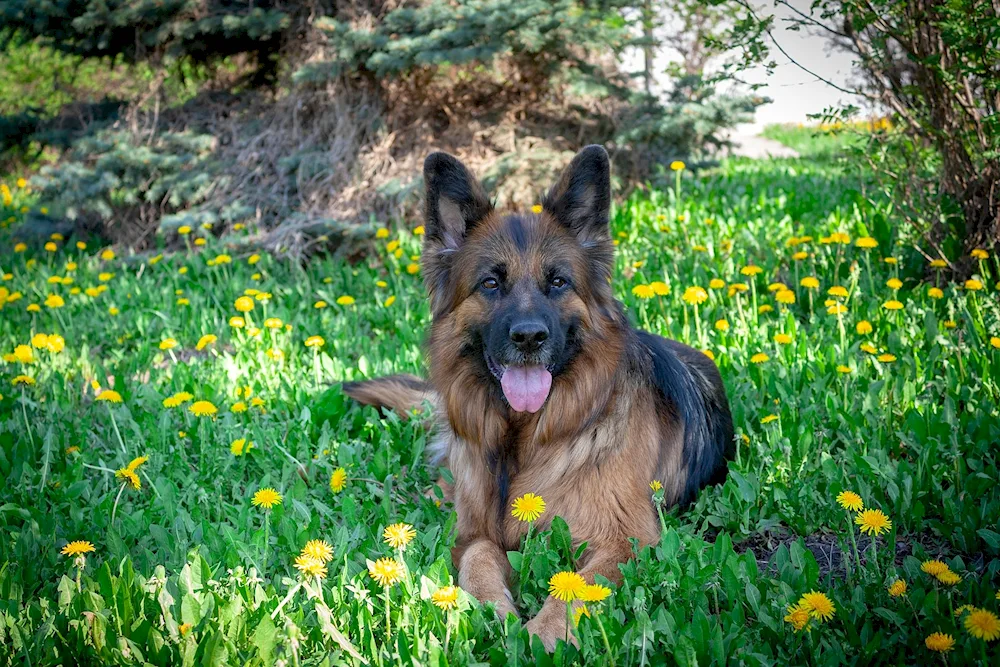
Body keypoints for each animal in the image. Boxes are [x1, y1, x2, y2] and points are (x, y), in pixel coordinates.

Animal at [344, 146, 736, 652]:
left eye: (558, 282)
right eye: (491, 283)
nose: (529, 337)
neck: (527, 437)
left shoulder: (626, 540)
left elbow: (579, 587)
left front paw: (539, 636)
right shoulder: (476, 530)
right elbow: (478, 558)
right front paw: (490, 612)